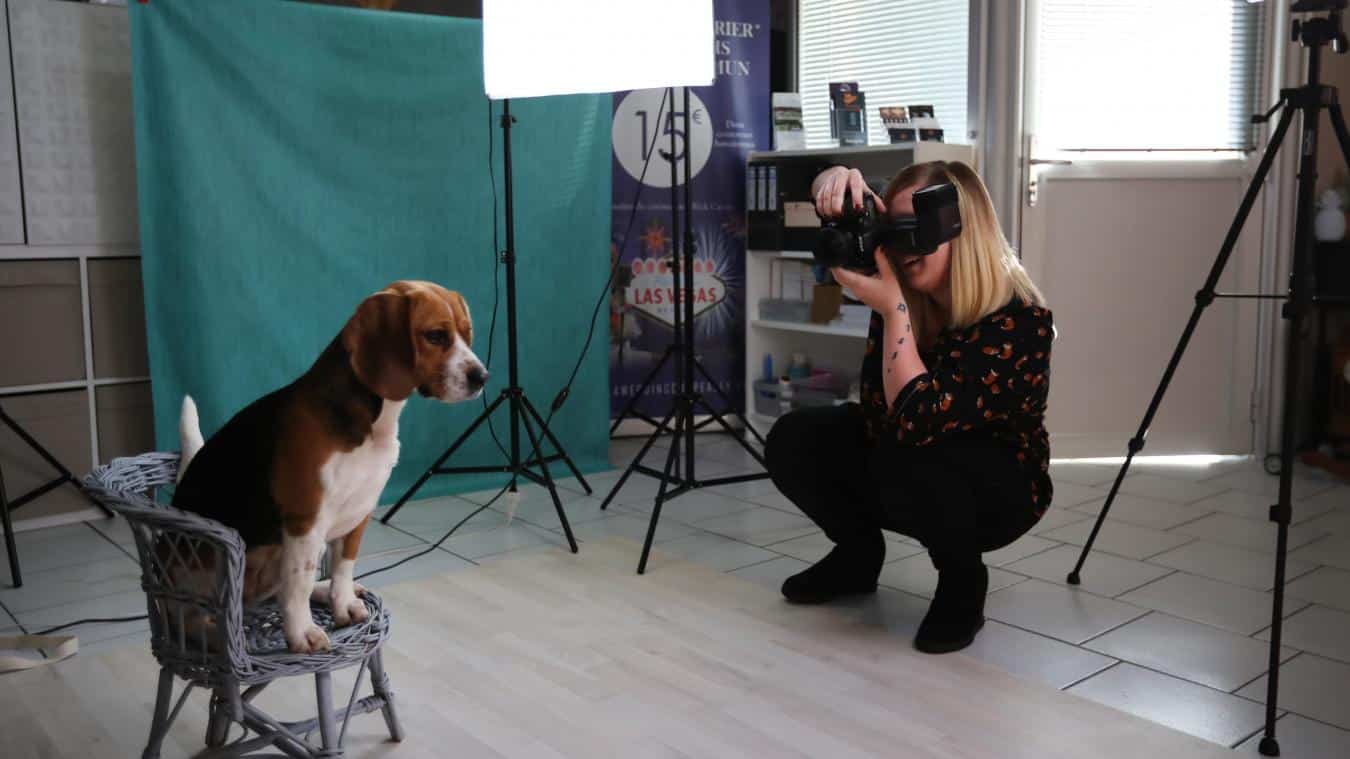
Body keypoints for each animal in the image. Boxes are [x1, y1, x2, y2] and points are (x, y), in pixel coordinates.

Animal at [170, 279, 486, 650]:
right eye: (436, 335)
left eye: (467, 334)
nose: (482, 377)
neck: (374, 424)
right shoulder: (305, 520)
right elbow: (299, 583)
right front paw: (300, 633)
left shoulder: (360, 510)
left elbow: (342, 567)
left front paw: (342, 603)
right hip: (210, 562)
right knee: (188, 616)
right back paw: (216, 635)